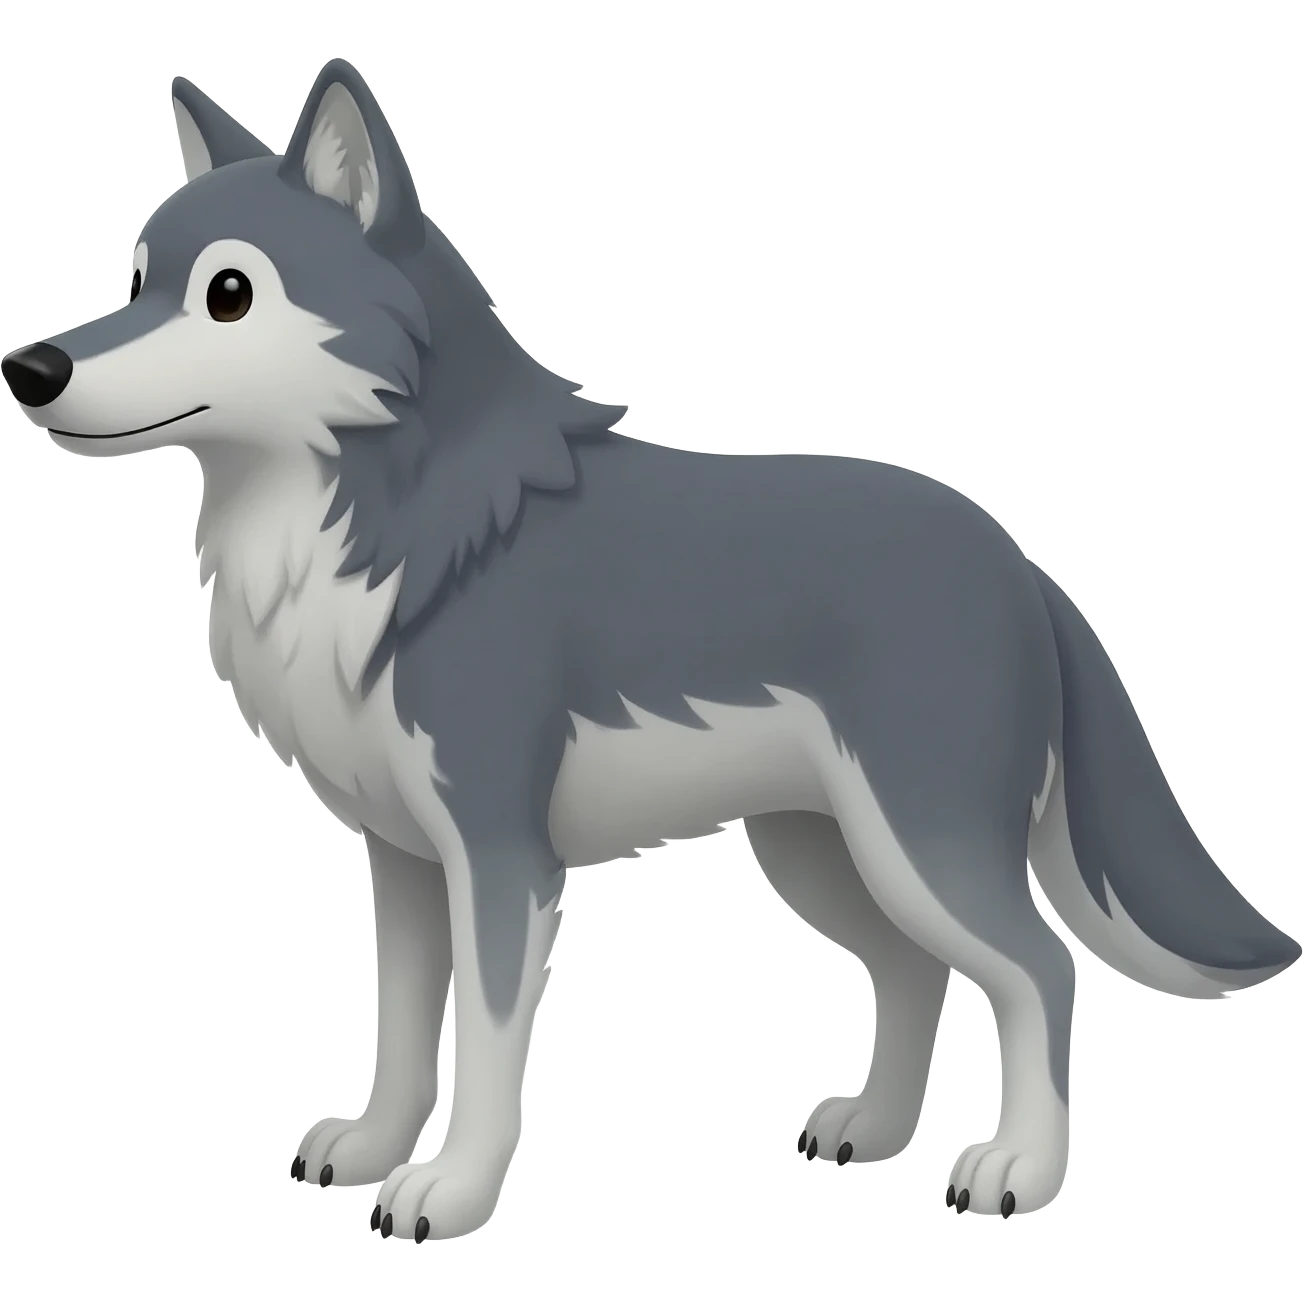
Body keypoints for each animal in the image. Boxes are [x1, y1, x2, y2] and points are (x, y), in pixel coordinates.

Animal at [4, 58, 1296, 1239]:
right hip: (819, 853)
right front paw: (371, 1148)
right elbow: (400, 1026)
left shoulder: (501, 856)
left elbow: (483, 1042)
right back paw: (874, 1128)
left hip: (917, 843)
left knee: (1038, 969)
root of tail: (1021, 562)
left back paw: (1018, 1168)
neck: (395, 532)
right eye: (136, 281)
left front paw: (451, 1192)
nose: (32, 369)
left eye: (228, 293)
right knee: (912, 971)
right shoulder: (403, 857)